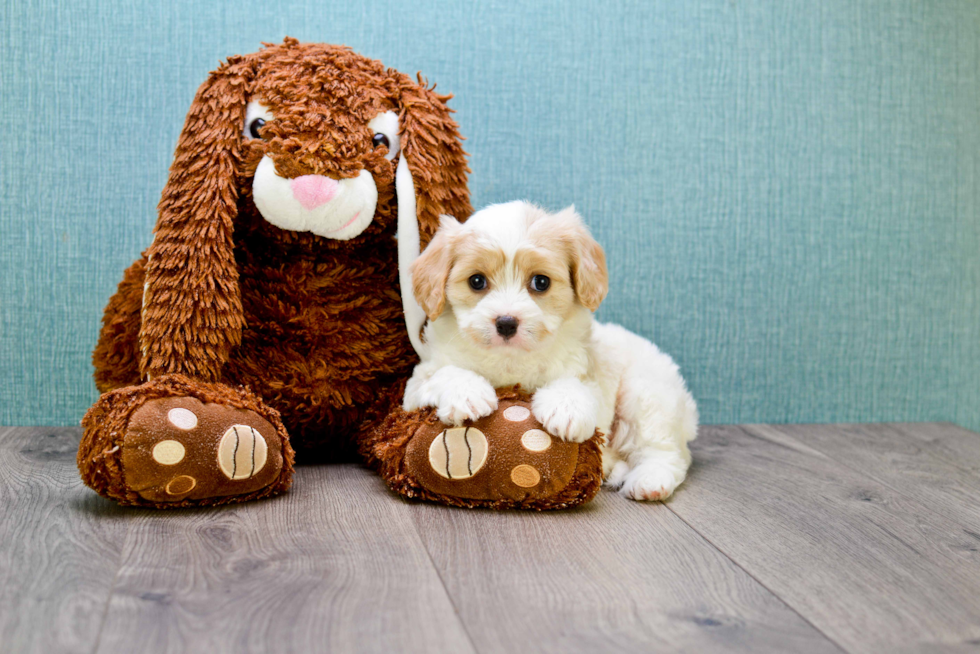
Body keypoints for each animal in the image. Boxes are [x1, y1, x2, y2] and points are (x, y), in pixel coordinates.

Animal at [404, 202, 696, 500]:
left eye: (541, 282)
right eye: (476, 281)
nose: (506, 323)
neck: (510, 360)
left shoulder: (589, 372)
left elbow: (575, 384)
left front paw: (566, 409)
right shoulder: (415, 386)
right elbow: (443, 373)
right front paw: (466, 393)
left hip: (647, 395)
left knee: (666, 451)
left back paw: (650, 480)